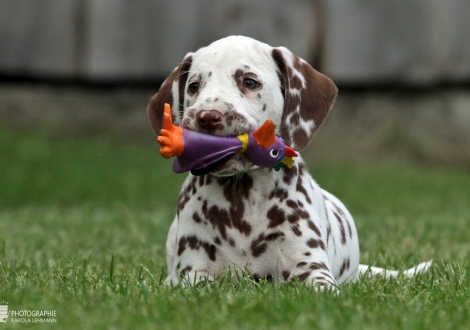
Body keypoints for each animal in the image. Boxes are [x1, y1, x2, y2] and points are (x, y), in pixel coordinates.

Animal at [147, 36, 430, 288]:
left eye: (249, 81)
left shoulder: (310, 268)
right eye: (194, 86)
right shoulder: (194, 274)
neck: (241, 202)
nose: (207, 116)